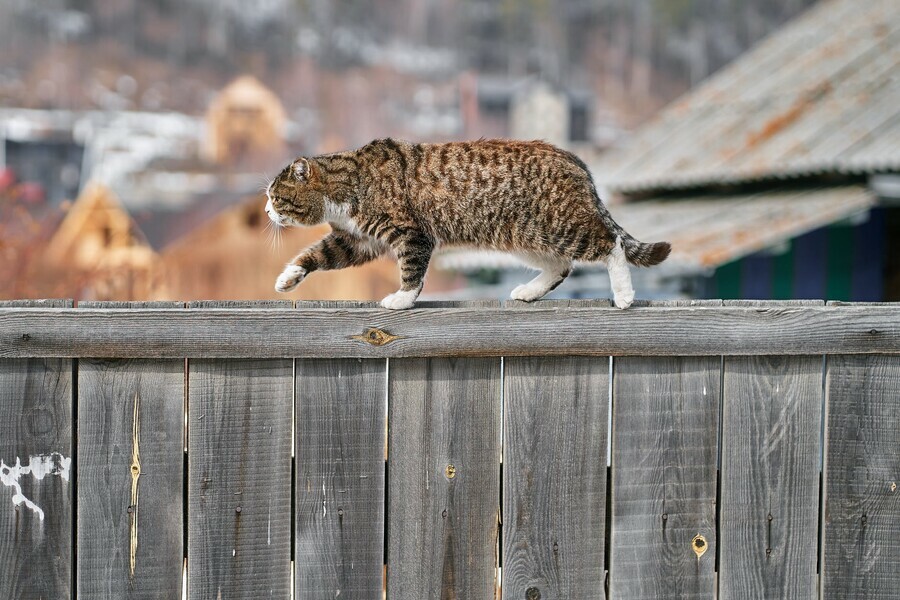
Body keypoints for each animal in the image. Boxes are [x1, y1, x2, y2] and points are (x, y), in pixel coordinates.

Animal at [264, 139, 672, 310]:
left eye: (275, 196)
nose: (266, 212)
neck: (351, 182)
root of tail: (576, 160)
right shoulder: (358, 240)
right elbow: (316, 255)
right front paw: (286, 278)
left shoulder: (411, 234)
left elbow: (412, 272)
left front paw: (401, 299)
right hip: (525, 236)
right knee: (561, 266)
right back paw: (530, 292)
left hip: (561, 225)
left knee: (609, 244)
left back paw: (624, 295)